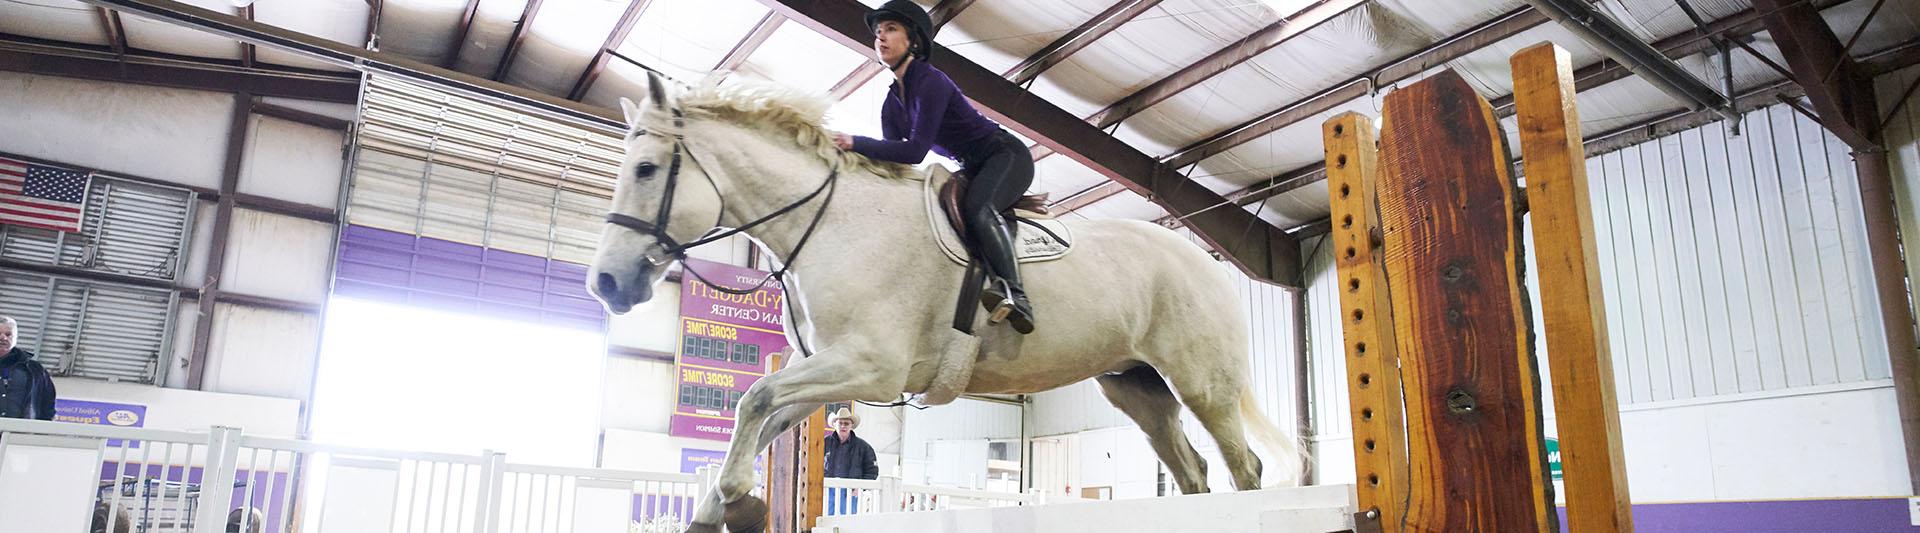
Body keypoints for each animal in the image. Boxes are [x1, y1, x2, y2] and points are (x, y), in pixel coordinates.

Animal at [583, 71, 1305, 533]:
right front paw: (715, 508)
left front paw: (733, 500)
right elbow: (760, 415)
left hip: (1202, 381)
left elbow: (753, 400)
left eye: (645, 170)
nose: (607, 284)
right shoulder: (826, 371)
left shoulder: (872, 368)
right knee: (1193, 473)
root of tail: (1209, 264)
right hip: (1138, 388)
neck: (831, 222)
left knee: (1244, 466)